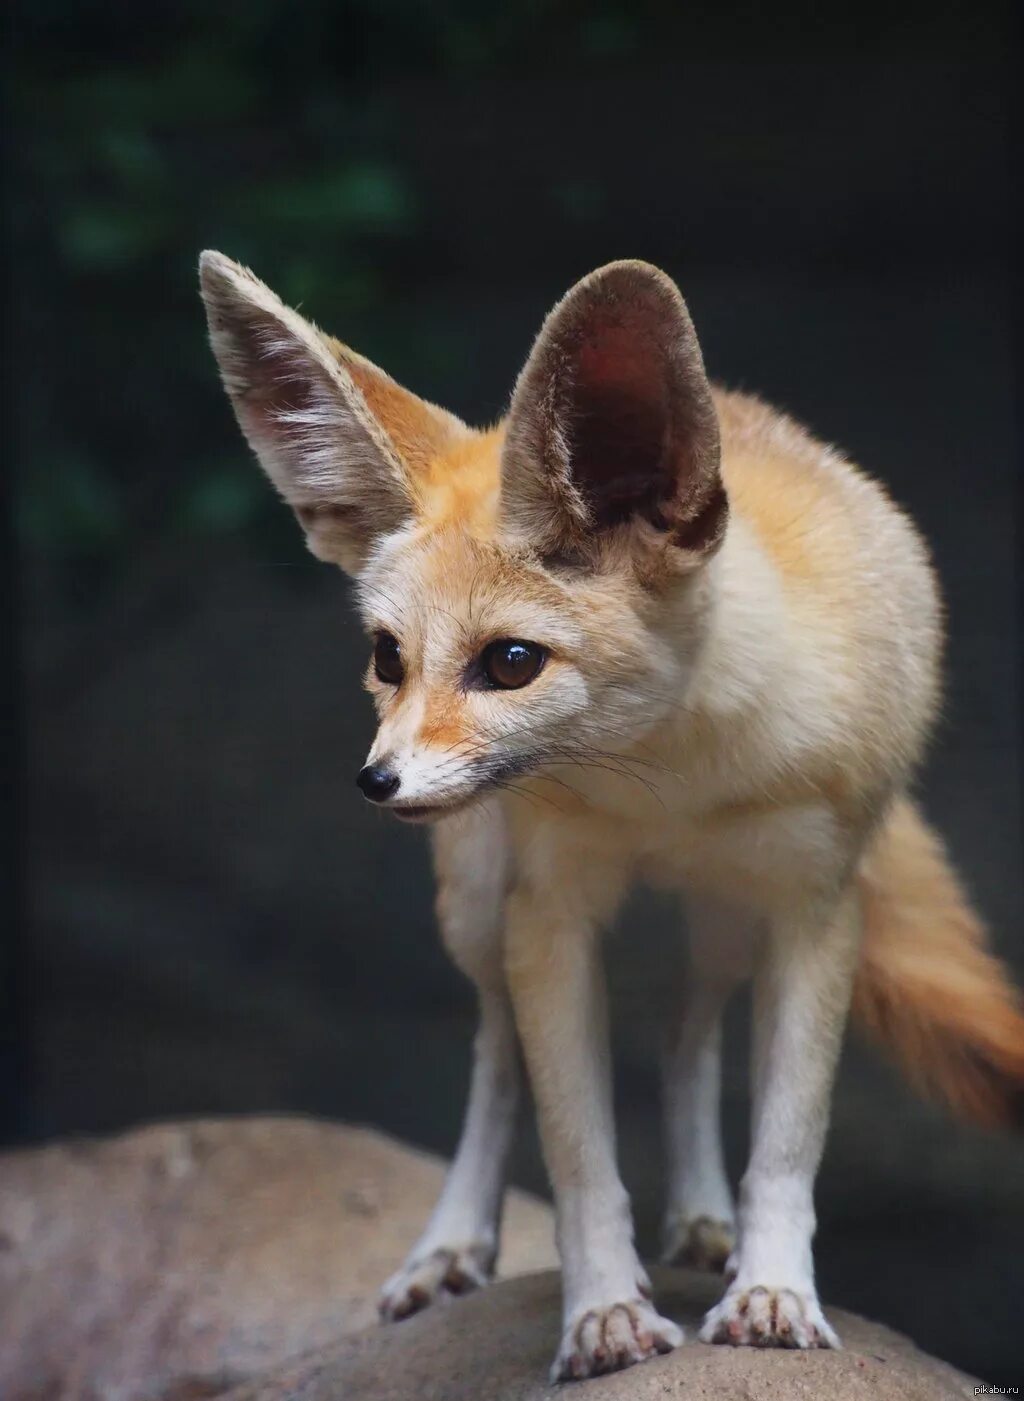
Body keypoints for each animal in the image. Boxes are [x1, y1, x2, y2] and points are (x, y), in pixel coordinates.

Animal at [200, 252, 1024, 1378]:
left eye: (510, 662)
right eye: (387, 657)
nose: (376, 783)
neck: (669, 781)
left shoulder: (816, 908)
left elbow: (786, 1139)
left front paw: (771, 1290)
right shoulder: (550, 916)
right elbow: (578, 1153)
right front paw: (604, 1315)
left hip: (723, 921)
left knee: (686, 1038)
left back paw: (707, 1221)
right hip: (480, 910)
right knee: (498, 1058)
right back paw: (450, 1245)